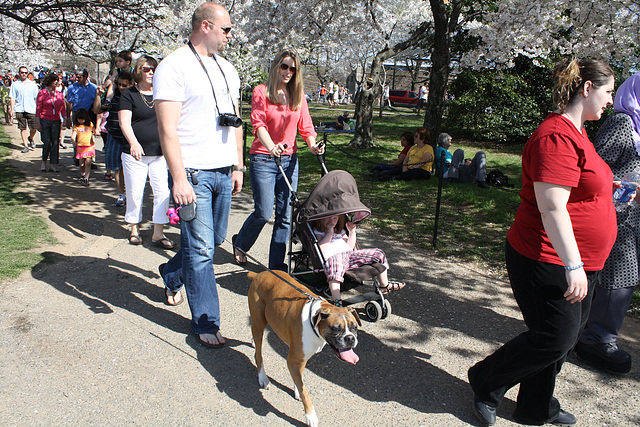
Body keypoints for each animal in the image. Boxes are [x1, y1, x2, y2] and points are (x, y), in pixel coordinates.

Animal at [248, 272, 360, 426]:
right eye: (336, 329)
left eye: (354, 327)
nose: (350, 338)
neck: (314, 319)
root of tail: (259, 274)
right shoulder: (293, 360)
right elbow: (304, 391)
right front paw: (310, 416)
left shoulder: (301, 359)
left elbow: (299, 379)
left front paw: (297, 390)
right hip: (259, 322)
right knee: (258, 355)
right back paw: (263, 378)